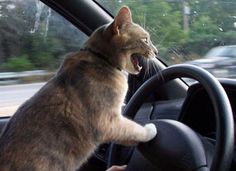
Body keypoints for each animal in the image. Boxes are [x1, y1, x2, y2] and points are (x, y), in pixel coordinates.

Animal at [0, 6, 159, 170]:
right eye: (145, 39)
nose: (156, 52)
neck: (102, 59)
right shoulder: (109, 121)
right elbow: (134, 130)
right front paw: (150, 129)